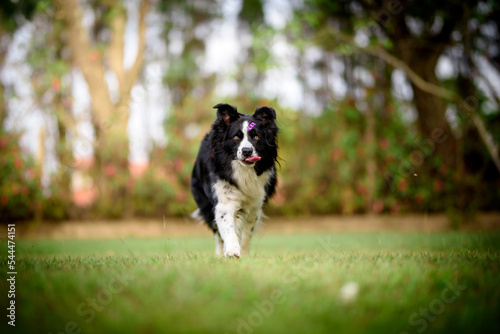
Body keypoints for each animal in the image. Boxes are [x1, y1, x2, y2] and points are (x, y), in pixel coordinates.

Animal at [190, 103, 280, 258]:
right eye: (236, 137)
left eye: (256, 137)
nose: (247, 151)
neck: (243, 170)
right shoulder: (223, 198)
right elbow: (227, 226)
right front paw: (232, 250)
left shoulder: (255, 204)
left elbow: (247, 234)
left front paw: (243, 254)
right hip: (204, 202)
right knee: (217, 232)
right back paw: (220, 253)